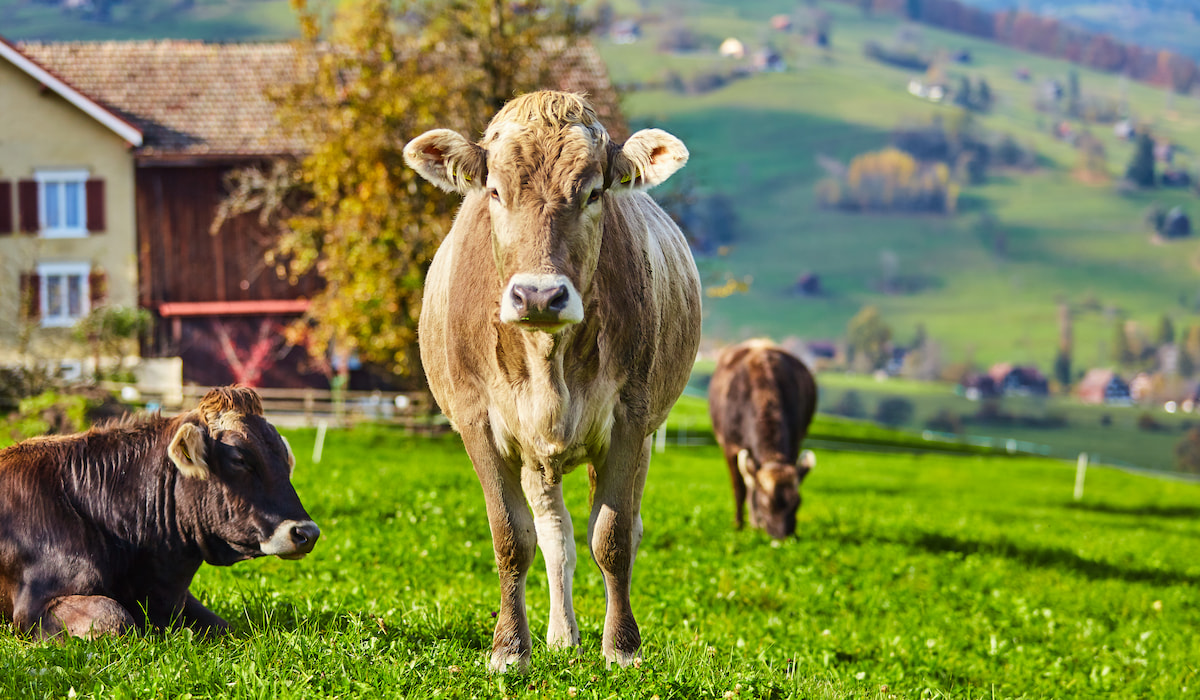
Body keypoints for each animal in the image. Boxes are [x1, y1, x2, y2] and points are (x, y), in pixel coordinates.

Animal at [0, 386, 319, 640]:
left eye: (285, 458)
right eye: (240, 458)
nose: (308, 532)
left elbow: (221, 625)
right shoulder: (34, 606)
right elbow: (115, 619)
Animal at [404, 91, 702, 671]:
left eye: (593, 192)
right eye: (495, 190)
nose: (539, 295)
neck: (548, 362)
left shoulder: (630, 419)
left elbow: (612, 537)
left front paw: (622, 648)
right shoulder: (478, 423)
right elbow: (511, 537)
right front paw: (509, 648)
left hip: (642, 437)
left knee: (621, 527)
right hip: (535, 458)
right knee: (555, 536)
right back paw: (562, 635)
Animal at [708, 339, 818, 539]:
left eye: (797, 503)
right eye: (765, 503)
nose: (783, 538)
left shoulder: (795, 442)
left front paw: (755, 522)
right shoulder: (730, 446)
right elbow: (739, 489)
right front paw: (738, 524)